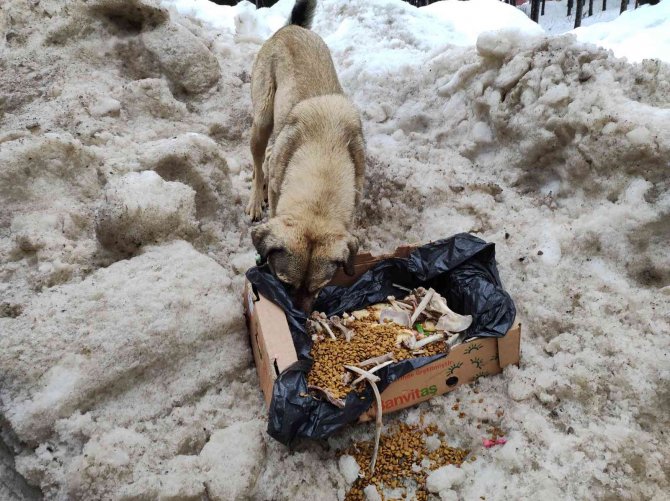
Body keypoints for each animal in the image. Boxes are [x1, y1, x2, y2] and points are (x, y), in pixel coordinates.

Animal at [247, 0, 364, 310]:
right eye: (285, 283)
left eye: (319, 289)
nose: (299, 316)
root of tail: (292, 28)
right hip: (262, 120)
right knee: (258, 163)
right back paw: (255, 199)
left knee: (267, 157)